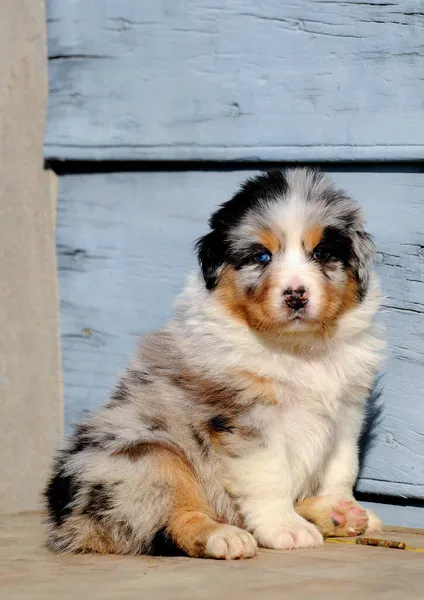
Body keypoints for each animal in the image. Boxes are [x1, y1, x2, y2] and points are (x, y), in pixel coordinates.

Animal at [44, 168, 384, 556]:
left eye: (322, 252)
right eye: (261, 257)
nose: (296, 295)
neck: (299, 347)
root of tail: (66, 522)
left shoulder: (346, 411)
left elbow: (342, 468)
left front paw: (343, 505)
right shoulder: (247, 418)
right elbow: (271, 476)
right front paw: (285, 528)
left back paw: (338, 516)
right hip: (148, 455)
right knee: (176, 519)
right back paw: (225, 536)